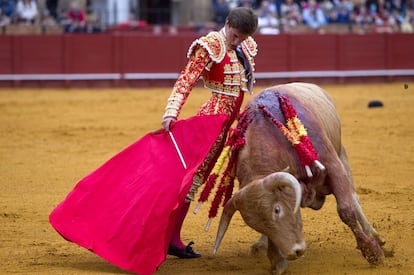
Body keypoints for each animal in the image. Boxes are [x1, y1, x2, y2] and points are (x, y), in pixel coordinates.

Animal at [212, 83, 386, 274]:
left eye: (277, 210)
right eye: (255, 224)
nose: (293, 252)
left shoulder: (333, 165)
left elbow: (346, 211)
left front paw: (372, 252)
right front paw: (276, 260)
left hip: (342, 155)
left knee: (354, 200)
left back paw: (375, 237)